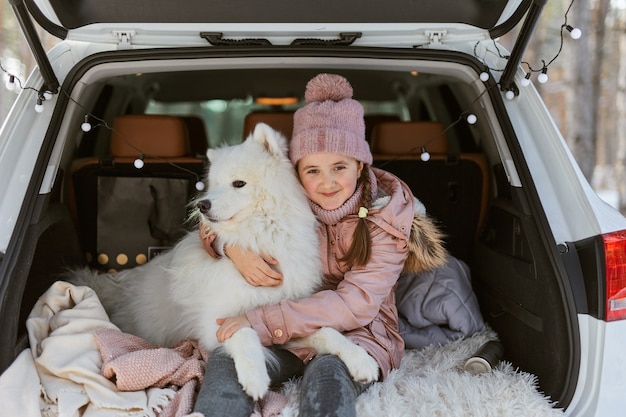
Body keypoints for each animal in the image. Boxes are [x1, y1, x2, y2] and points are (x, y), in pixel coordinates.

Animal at [70, 122, 378, 400]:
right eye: (213, 185)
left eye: (238, 183)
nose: (202, 205)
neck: (260, 238)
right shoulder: (216, 322)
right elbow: (243, 333)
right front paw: (255, 377)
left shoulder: (282, 317)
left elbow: (327, 331)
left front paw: (360, 359)